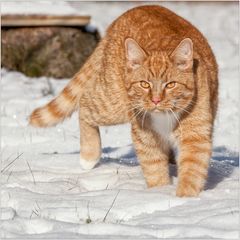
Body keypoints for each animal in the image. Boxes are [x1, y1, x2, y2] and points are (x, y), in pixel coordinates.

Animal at [29, 5, 218, 197]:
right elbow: (154, 167)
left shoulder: (195, 136)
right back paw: (88, 156)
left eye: (171, 84)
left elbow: (192, 170)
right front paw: (159, 191)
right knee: (85, 103)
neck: (163, 115)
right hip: (114, 105)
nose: (156, 100)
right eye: (144, 84)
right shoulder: (145, 135)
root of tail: (139, 7)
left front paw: (184, 197)